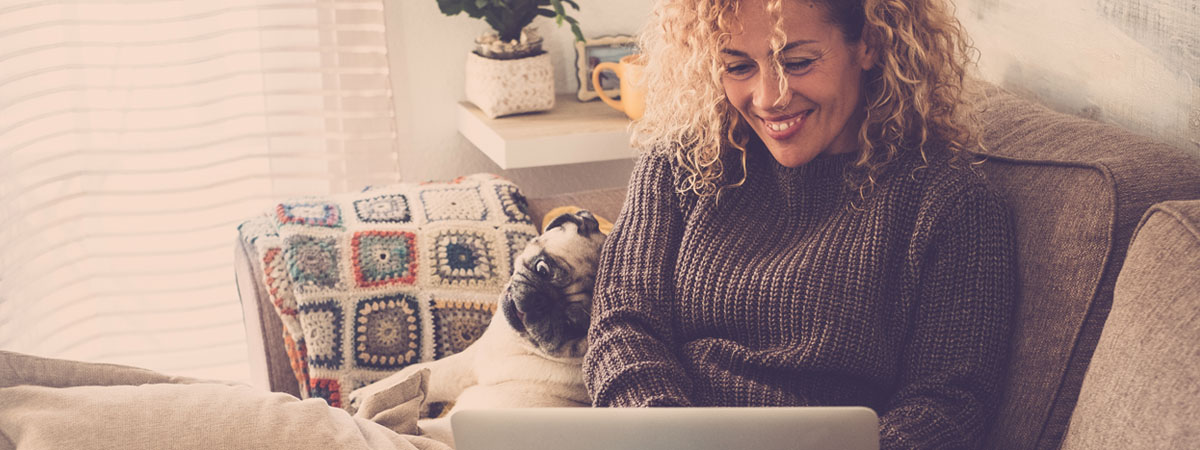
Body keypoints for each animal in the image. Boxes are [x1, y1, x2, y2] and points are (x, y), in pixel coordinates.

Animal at [350, 211, 604, 448]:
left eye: (572, 325)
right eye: (542, 268)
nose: (542, 303)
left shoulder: (468, 365)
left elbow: (417, 374)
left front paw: (364, 395)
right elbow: (413, 370)